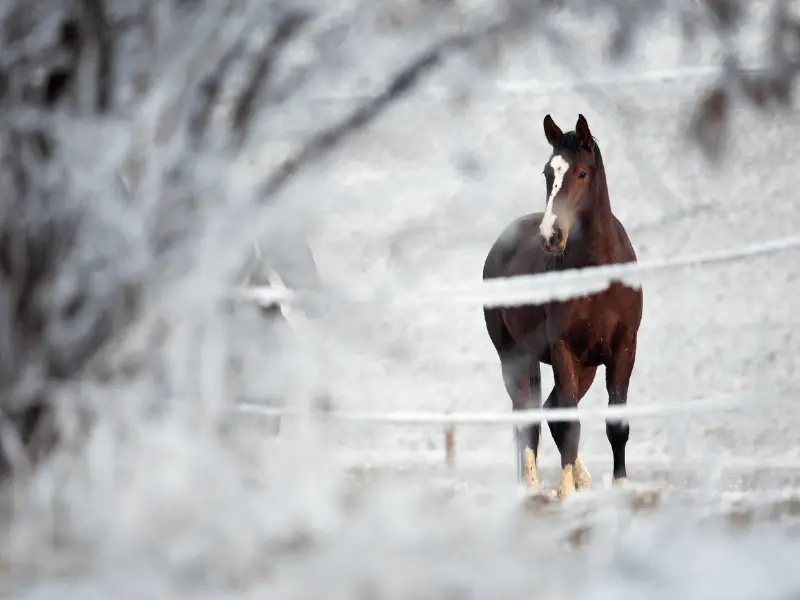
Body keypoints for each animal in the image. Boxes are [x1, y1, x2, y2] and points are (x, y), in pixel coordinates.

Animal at [482, 115, 644, 500]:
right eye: (547, 173)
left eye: (582, 173)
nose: (552, 236)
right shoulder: (563, 350)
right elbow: (569, 422)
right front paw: (565, 491)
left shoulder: (623, 349)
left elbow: (616, 422)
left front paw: (619, 485)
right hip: (515, 358)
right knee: (529, 418)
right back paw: (533, 487)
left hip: (584, 367)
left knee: (548, 409)